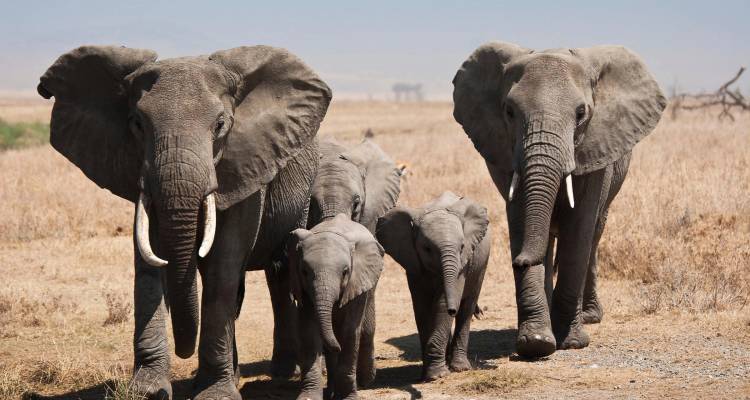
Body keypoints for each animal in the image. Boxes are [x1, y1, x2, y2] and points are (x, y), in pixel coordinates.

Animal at [37, 45, 331, 399]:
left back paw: (281, 374)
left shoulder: (248, 163)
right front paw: (147, 390)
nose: (183, 352)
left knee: (279, 273)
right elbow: (148, 260)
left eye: (220, 125)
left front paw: (215, 393)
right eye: (137, 124)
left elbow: (223, 264)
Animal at [288, 214, 384, 400]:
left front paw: (348, 397)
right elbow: (309, 332)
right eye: (304, 271)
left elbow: (349, 331)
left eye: (345, 272)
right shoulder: (303, 288)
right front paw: (308, 397)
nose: (336, 347)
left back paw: (364, 382)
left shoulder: (357, 281)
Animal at [376, 191, 490, 381]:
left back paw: (460, 367)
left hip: (481, 266)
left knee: (466, 308)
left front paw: (437, 375)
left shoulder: (462, 266)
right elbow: (421, 308)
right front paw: (429, 375)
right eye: (427, 249)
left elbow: (441, 303)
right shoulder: (413, 263)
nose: (452, 309)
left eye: (462, 247)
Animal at [452, 41, 666, 358]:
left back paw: (589, 316)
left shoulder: (597, 146)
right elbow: (520, 216)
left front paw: (572, 342)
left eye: (581, 113)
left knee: (594, 233)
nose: (519, 261)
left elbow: (579, 228)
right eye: (509, 111)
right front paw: (536, 342)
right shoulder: (506, 153)